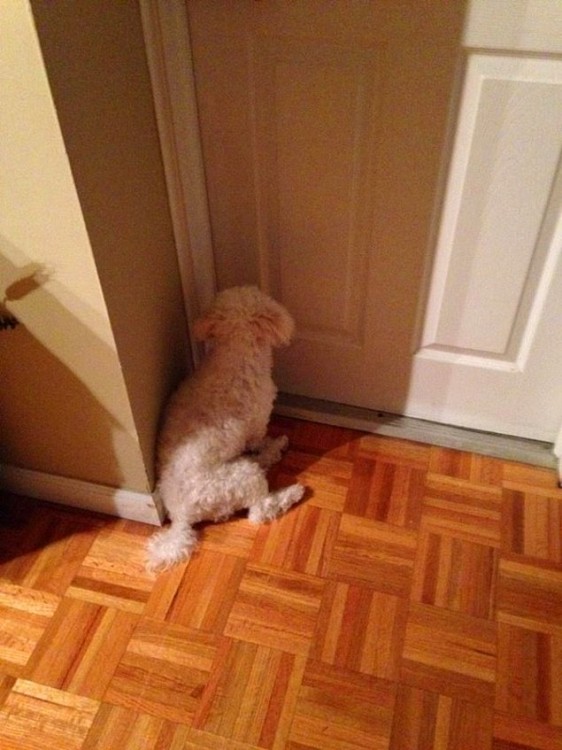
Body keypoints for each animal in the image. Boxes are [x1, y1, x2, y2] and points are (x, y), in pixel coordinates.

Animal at [144, 284, 302, 572]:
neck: (235, 354)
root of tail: (181, 515)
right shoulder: (257, 422)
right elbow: (260, 440)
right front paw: (274, 444)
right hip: (243, 477)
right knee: (259, 510)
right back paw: (291, 488)